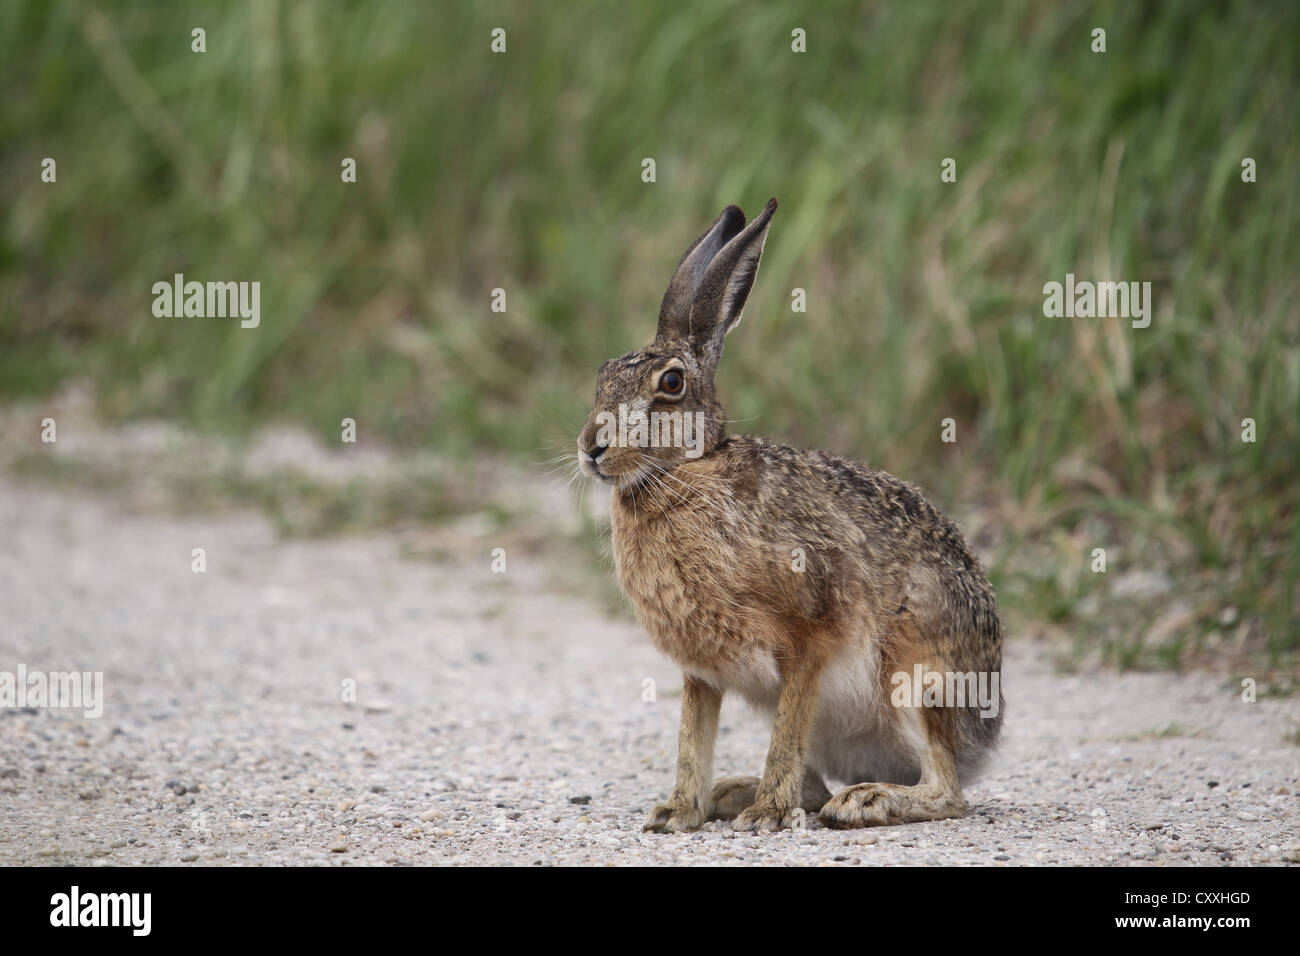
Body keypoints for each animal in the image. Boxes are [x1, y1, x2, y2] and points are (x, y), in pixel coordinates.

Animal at [577, 198, 1003, 832]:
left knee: (947, 790)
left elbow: (785, 728)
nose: (591, 447)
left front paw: (767, 816)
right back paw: (733, 794)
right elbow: (692, 739)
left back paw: (863, 800)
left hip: (918, 676)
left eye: (671, 383)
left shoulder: (811, 637)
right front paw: (678, 812)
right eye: (603, 375)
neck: (684, 474)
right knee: (817, 777)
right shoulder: (703, 671)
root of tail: (986, 735)